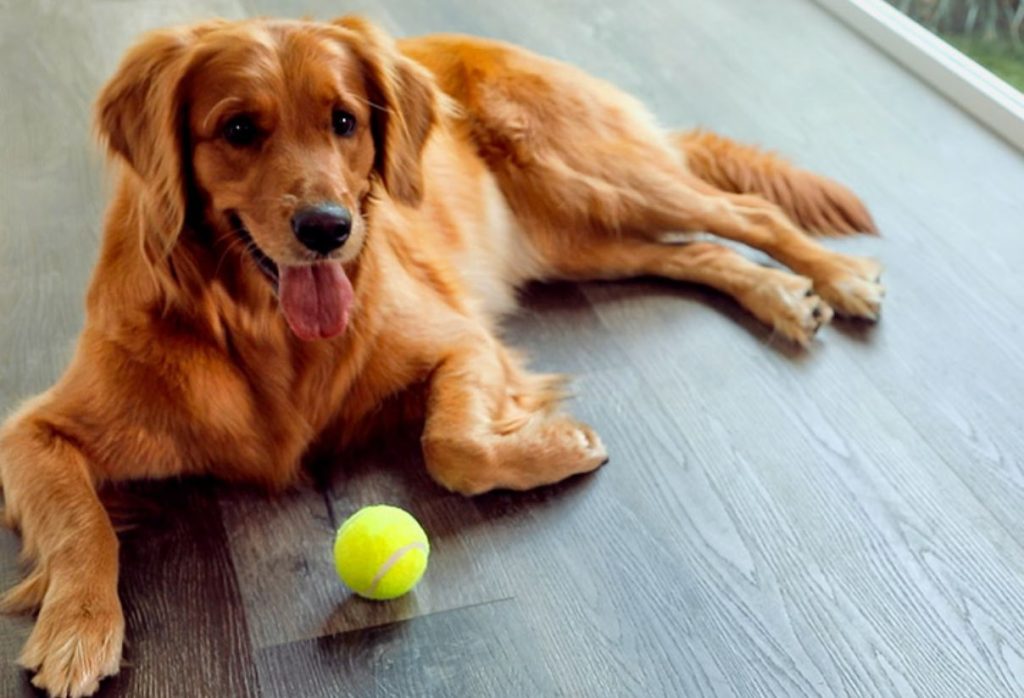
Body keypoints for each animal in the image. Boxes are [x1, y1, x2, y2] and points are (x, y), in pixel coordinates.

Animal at [0, 17, 880, 695]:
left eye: (345, 121)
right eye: (239, 128)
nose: (328, 229)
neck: (260, 330)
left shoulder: (462, 340)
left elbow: (452, 446)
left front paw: (557, 447)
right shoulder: (33, 432)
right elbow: (83, 527)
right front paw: (79, 629)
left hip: (595, 176)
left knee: (745, 211)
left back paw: (833, 277)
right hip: (582, 238)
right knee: (698, 251)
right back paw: (781, 294)